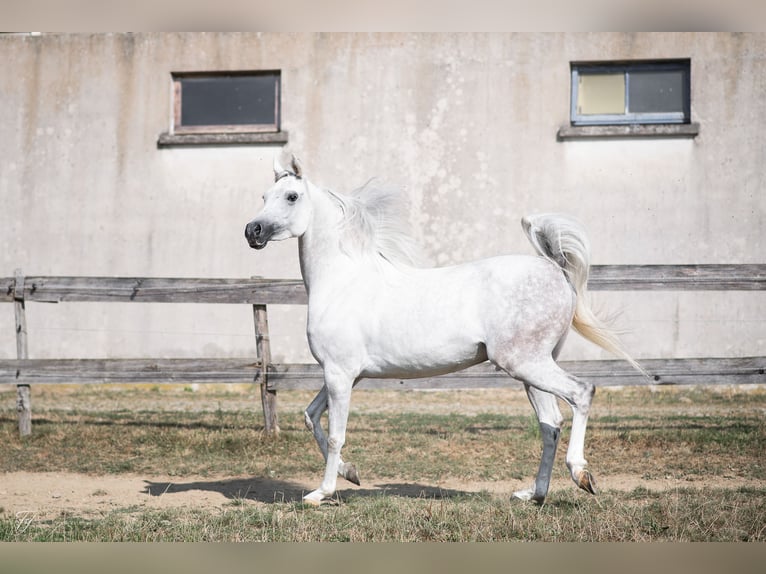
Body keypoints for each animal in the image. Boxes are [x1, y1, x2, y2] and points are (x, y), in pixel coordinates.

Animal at [246, 155, 640, 506]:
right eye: (263, 196)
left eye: (291, 196)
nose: (253, 231)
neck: (342, 281)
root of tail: (555, 269)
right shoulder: (347, 375)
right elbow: (311, 417)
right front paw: (351, 473)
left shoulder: (339, 374)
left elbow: (334, 436)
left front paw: (320, 493)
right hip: (533, 370)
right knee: (550, 423)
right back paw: (533, 495)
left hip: (526, 364)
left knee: (581, 393)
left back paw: (582, 476)